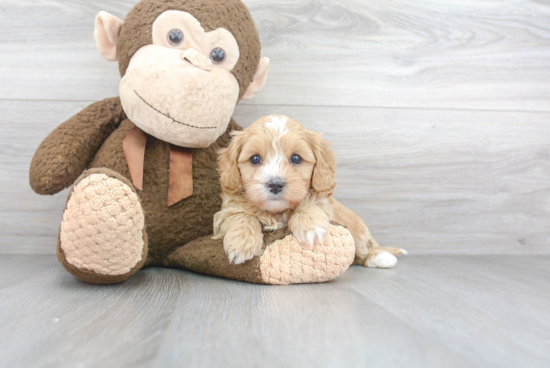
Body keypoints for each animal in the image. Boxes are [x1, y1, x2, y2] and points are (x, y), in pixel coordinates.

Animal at [213, 115, 408, 268]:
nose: (275, 184)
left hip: (356, 229)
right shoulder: (225, 214)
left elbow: (310, 204)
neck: (276, 212)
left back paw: (380, 257)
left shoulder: (325, 205)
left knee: (364, 248)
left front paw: (311, 227)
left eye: (296, 158)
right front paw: (241, 243)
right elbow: (241, 217)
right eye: (255, 159)